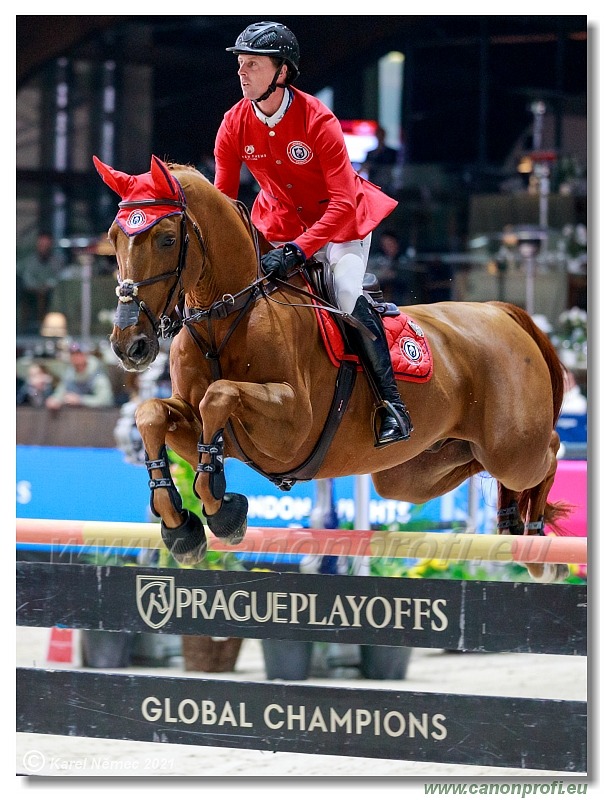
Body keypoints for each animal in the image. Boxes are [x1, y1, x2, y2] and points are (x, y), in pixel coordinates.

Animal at [93, 155, 572, 580]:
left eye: (166, 239)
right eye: (114, 236)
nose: (129, 345)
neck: (227, 315)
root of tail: (499, 311)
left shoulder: (291, 428)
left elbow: (220, 395)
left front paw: (221, 509)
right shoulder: (191, 418)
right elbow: (151, 413)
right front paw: (182, 525)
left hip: (512, 446)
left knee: (548, 452)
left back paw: (539, 545)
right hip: (412, 473)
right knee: (473, 465)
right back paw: (512, 521)